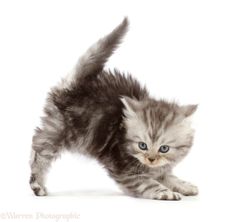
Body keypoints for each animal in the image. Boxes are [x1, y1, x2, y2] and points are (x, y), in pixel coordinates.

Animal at [30, 18, 199, 200]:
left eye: (164, 148)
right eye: (142, 146)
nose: (151, 159)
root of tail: (72, 86)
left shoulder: (159, 169)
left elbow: (169, 177)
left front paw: (184, 185)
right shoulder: (126, 172)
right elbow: (149, 184)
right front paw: (166, 192)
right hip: (60, 130)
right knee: (38, 151)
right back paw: (37, 184)